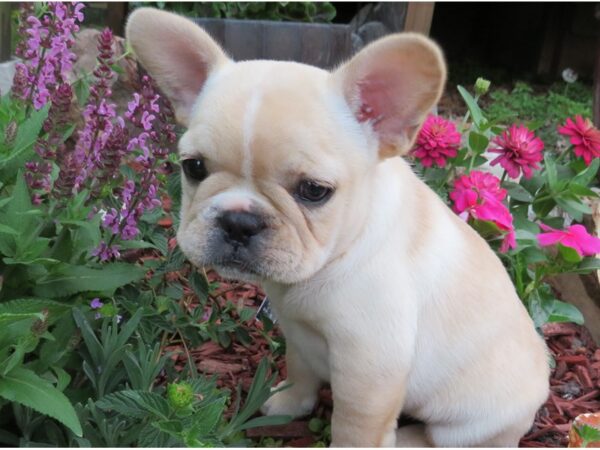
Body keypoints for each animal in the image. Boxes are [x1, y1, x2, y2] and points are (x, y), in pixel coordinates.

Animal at [126, 9, 548, 446]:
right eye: (193, 167)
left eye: (314, 191)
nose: (239, 221)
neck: (332, 258)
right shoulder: (298, 336)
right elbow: (300, 371)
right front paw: (290, 404)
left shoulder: (369, 370)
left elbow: (354, 428)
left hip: (470, 422)